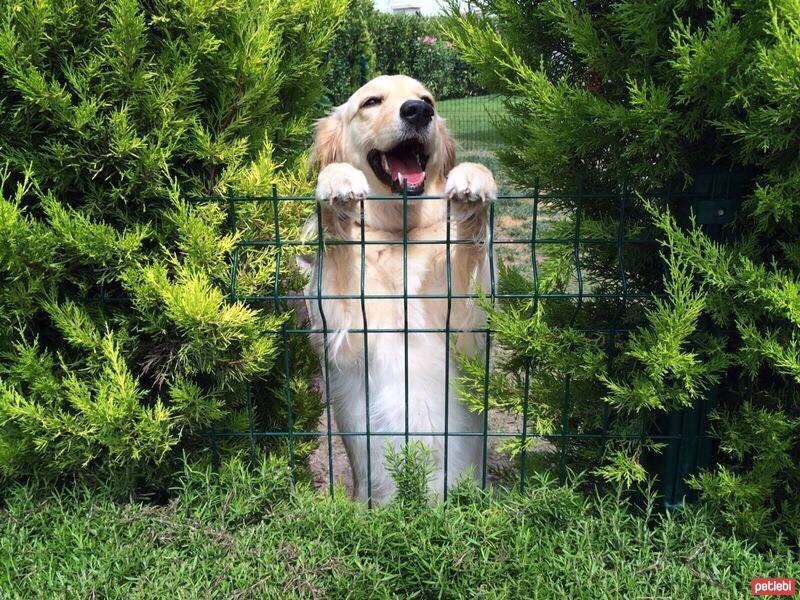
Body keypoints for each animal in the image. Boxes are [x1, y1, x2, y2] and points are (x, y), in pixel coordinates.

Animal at [304, 75, 496, 502]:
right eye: (371, 102)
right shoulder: (345, 327)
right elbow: (337, 243)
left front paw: (474, 177)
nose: (418, 111)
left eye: (428, 100)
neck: (400, 235)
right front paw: (337, 179)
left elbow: (470, 248)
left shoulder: (466, 323)